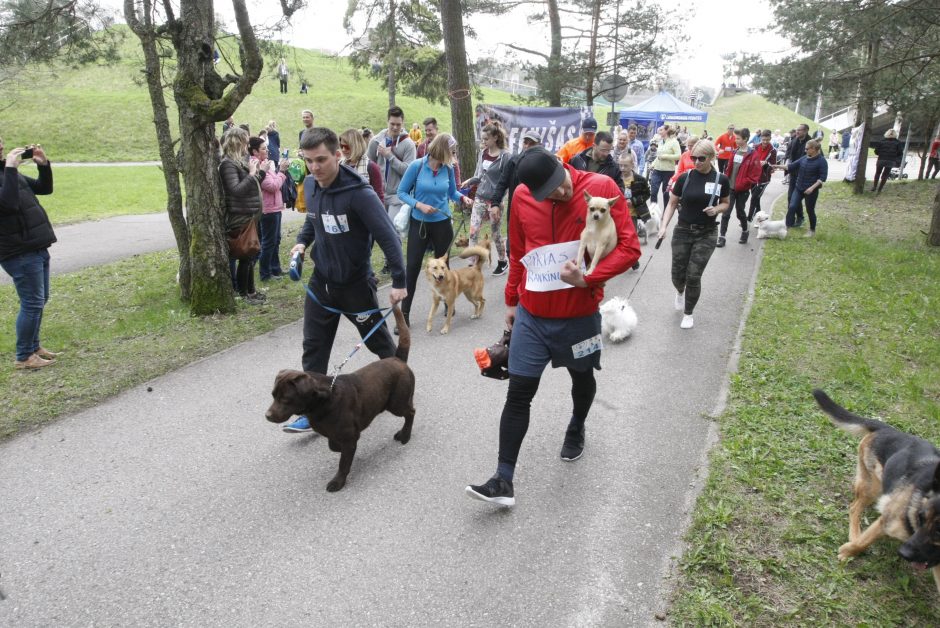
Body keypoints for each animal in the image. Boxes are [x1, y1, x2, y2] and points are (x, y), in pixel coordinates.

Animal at [816, 390, 940, 592]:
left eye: (939, 532)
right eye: (921, 518)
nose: (903, 553)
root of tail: (888, 429)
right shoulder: (887, 521)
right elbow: (864, 541)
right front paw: (848, 552)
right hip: (874, 485)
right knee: (855, 507)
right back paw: (855, 533)